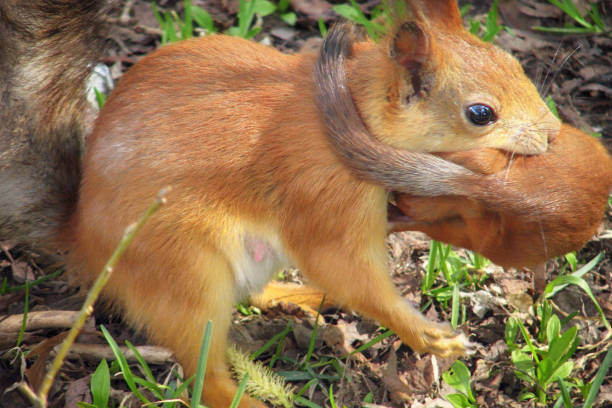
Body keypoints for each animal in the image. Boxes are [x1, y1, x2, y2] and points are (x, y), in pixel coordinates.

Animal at [0, 0, 608, 408]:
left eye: (514, 63)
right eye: (480, 114)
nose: (553, 134)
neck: (351, 109)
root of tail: (85, 242)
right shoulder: (321, 193)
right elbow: (345, 268)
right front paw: (425, 333)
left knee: (254, 295)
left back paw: (295, 294)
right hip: (183, 274)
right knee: (204, 372)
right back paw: (246, 397)